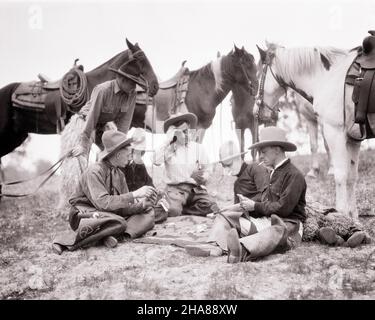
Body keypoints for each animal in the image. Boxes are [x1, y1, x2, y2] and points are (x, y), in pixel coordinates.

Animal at [258, 41, 362, 219]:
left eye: (258, 75)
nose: (255, 112)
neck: (328, 76)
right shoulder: (353, 137)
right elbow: (351, 177)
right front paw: (353, 218)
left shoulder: (333, 130)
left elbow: (340, 174)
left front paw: (341, 214)